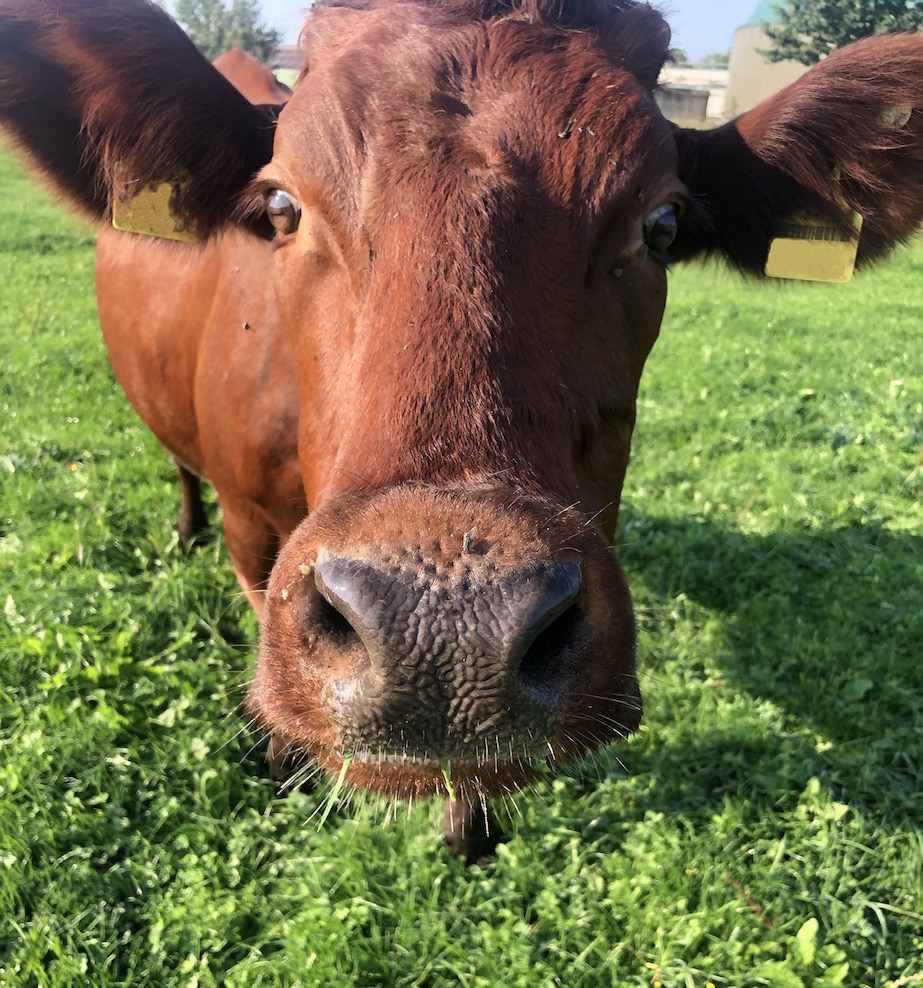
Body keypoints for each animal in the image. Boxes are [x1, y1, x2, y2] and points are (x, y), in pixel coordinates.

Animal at [1, 0, 923, 856]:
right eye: (280, 206)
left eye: (661, 225)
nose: (444, 635)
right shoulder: (250, 523)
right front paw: (284, 760)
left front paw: (469, 822)